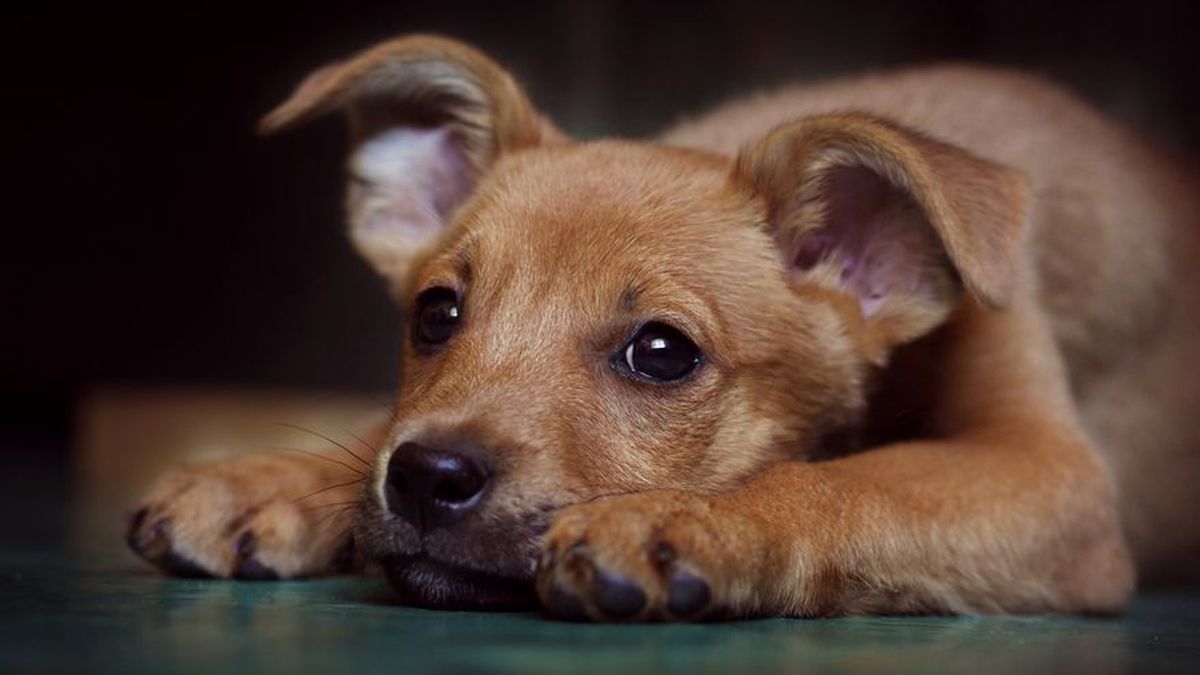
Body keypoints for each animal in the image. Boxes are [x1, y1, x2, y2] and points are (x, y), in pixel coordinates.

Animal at [129, 34, 1200, 619]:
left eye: (660, 353)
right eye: (436, 314)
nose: (429, 478)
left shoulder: (1050, 472)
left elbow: (857, 483)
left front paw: (691, 521)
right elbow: (368, 432)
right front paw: (266, 482)